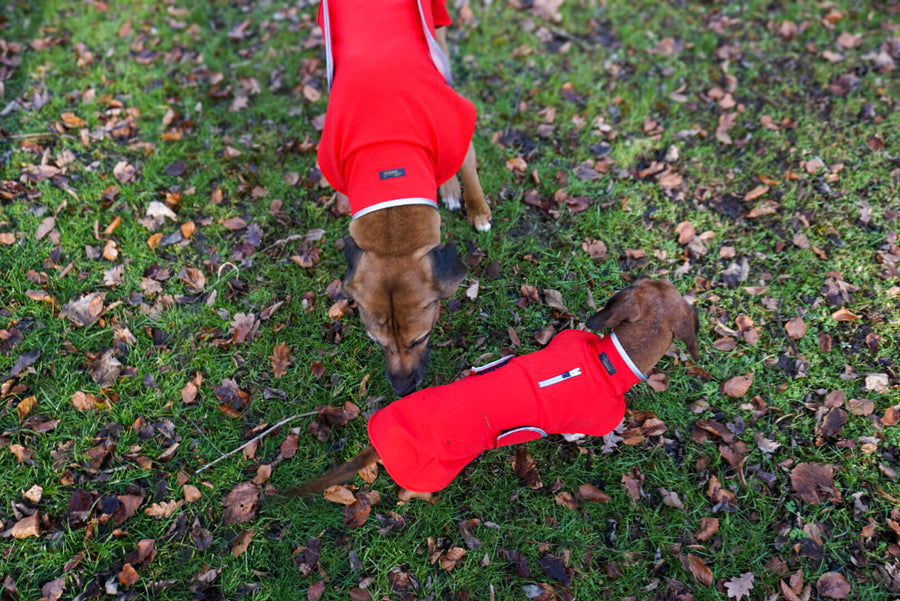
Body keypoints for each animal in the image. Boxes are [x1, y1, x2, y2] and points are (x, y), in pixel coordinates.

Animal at [316, 0, 492, 396]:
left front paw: (478, 210)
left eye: (421, 338)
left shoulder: (457, 126)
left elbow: (470, 171)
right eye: (375, 341)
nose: (402, 389)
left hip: (437, 25)